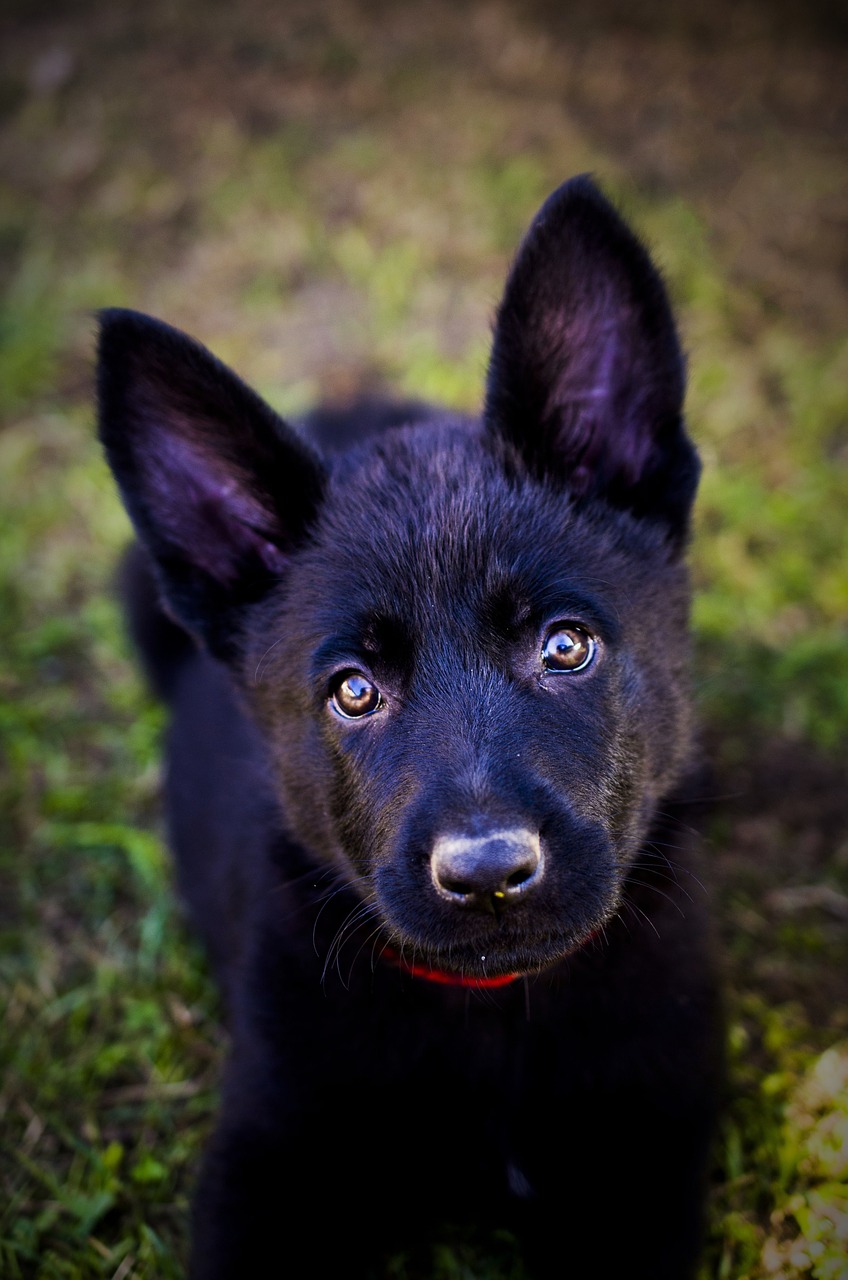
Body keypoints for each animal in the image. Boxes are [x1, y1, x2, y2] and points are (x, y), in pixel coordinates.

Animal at [97, 175, 722, 1274]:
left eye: (565, 646)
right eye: (354, 691)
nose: (487, 877)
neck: (495, 1020)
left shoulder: (637, 1161)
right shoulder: (273, 1159)